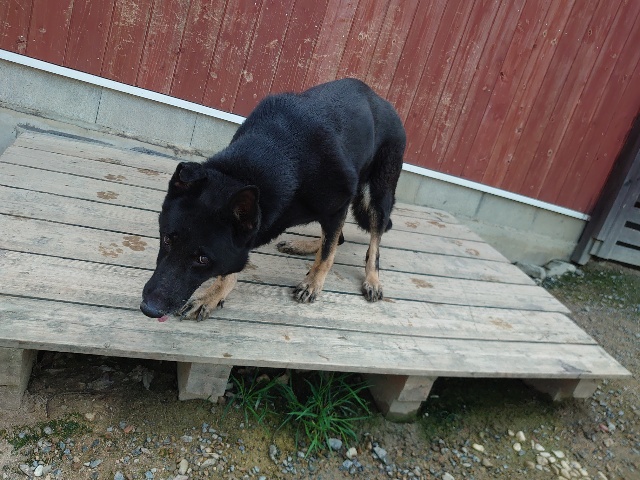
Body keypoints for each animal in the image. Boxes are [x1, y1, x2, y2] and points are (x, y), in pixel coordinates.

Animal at [140, 78, 406, 321]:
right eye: (167, 239)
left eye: (203, 259)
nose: (148, 309)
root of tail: (382, 100)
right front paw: (214, 294)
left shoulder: (338, 206)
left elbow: (327, 255)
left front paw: (313, 283)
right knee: (338, 238)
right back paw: (304, 245)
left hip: (377, 196)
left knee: (371, 242)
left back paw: (372, 280)